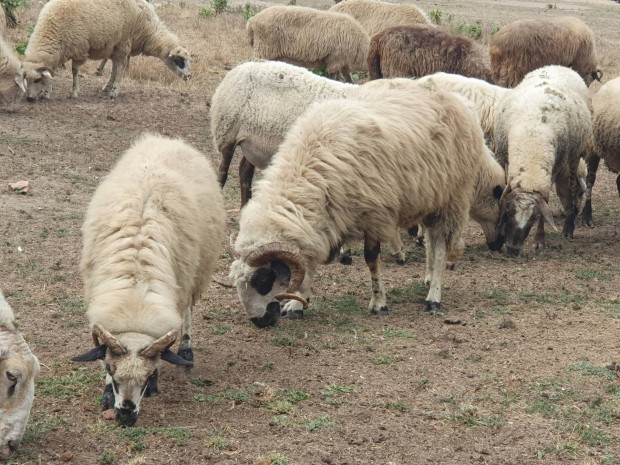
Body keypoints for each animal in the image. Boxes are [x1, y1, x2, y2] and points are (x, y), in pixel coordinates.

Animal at [71, 132, 225, 426]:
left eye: (148, 376)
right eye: (111, 370)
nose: (126, 417)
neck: (135, 295)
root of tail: (167, 140)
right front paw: (106, 395)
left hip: (195, 272)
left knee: (187, 312)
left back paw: (187, 350)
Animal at [228, 84, 484, 326]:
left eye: (263, 279)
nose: (259, 322)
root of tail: (457, 99)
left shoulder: (374, 214)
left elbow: (371, 259)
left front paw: (379, 303)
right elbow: (309, 263)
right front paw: (297, 305)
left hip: (451, 199)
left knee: (440, 248)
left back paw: (433, 297)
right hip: (429, 198)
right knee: (431, 240)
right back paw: (429, 277)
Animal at [492, 65, 592, 254]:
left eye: (534, 217)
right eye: (509, 212)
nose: (513, 249)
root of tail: (559, 66)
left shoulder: (553, 169)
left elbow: (545, 201)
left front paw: (539, 241)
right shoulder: (505, 159)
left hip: (575, 154)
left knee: (572, 186)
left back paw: (568, 228)